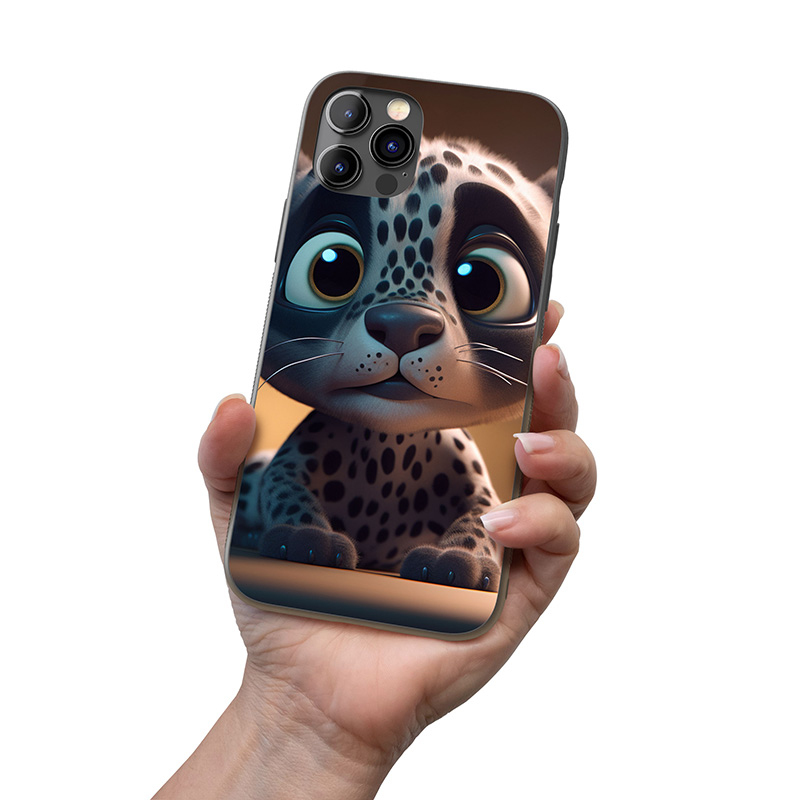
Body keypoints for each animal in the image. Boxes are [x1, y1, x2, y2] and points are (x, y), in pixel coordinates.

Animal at [230, 137, 556, 591]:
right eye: (331, 267)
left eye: (481, 280)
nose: (403, 325)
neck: (393, 448)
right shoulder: (290, 460)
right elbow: (283, 489)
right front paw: (305, 538)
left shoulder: (477, 484)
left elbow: (482, 517)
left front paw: (458, 561)